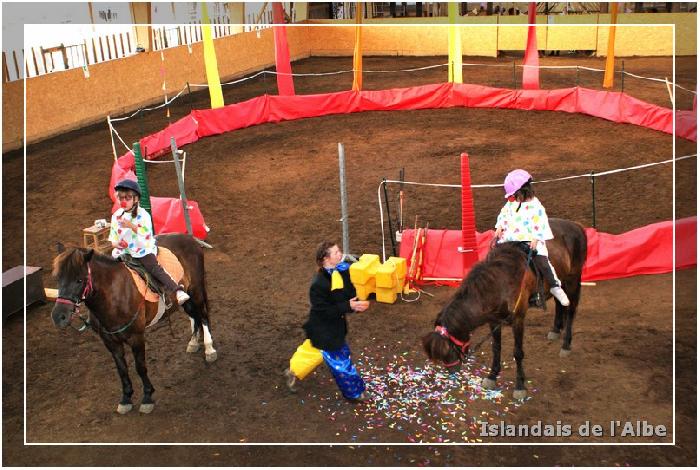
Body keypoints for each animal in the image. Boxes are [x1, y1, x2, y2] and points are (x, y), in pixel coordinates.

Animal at [50, 233, 215, 414]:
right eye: (58, 278)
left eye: (79, 280)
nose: (59, 316)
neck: (113, 296)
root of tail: (189, 238)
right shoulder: (110, 341)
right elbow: (122, 369)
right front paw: (126, 398)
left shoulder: (136, 337)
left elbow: (140, 367)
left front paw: (147, 397)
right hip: (186, 299)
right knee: (194, 317)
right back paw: (193, 342)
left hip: (196, 291)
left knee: (203, 316)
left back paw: (209, 349)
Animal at [424, 218, 588, 398]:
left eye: (447, 349)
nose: (453, 371)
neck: (500, 283)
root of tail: (576, 226)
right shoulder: (493, 320)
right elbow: (496, 348)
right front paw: (492, 376)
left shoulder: (518, 319)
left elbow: (518, 352)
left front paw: (520, 386)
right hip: (562, 279)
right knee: (559, 301)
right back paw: (555, 330)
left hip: (573, 278)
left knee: (571, 310)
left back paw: (566, 344)